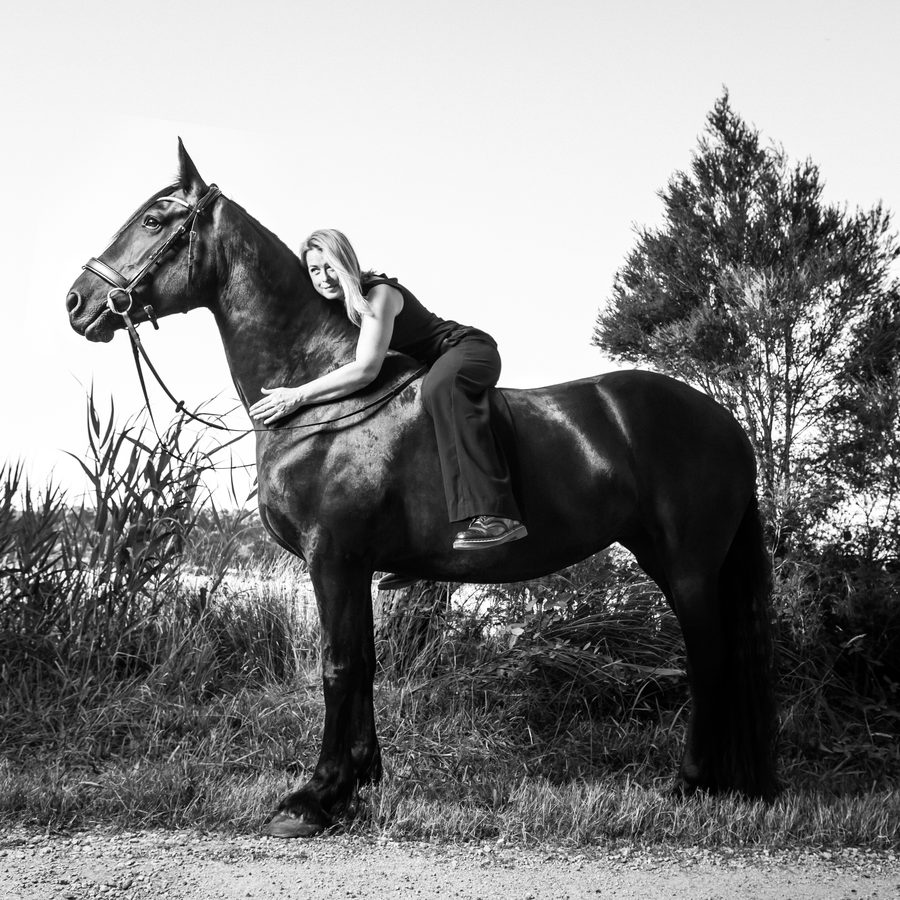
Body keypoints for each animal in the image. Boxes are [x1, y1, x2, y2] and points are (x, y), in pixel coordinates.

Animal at [66, 140, 777, 837]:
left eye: (154, 219)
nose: (76, 301)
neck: (323, 395)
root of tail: (723, 420)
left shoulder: (333, 558)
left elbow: (337, 666)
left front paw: (314, 798)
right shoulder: (354, 565)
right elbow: (364, 663)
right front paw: (358, 780)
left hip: (687, 565)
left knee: (710, 659)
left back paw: (691, 783)